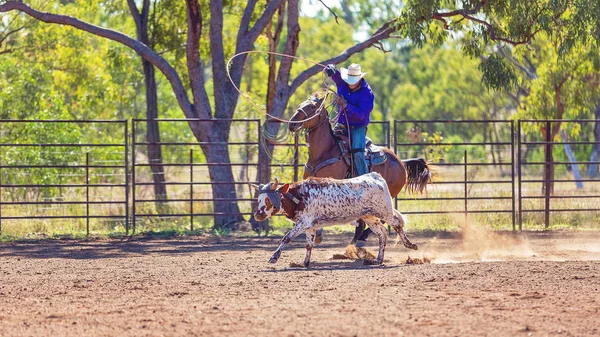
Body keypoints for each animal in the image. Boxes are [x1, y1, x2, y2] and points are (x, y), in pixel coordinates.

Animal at [251, 172, 414, 266]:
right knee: (382, 233)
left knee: (397, 224)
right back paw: (378, 259)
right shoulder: (310, 226)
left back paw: (410, 245)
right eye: (258, 199)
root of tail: (377, 177)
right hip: (370, 217)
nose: (257, 215)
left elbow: (286, 238)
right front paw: (305, 262)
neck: (299, 196)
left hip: (385, 212)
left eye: (268, 200)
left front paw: (274, 257)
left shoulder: (303, 223)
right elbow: (309, 245)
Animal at [288, 94, 432, 244]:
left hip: (386, 196)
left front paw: (318, 234)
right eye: (301, 104)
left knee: (383, 218)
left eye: (312, 106)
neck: (325, 152)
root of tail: (401, 162)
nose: (292, 124)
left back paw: (362, 237)